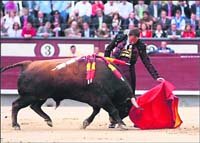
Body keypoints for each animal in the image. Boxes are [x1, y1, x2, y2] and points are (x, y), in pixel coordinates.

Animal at [0, 57, 138, 130]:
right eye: (127, 108)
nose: (112, 122)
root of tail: (27, 64)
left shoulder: (96, 100)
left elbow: (96, 111)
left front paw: (85, 123)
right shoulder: (102, 98)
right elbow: (113, 110)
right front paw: (122, 124)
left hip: (40, 97)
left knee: (35, 107)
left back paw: (49, 121)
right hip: (29, 96)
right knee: (16, 105)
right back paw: (16, 125)